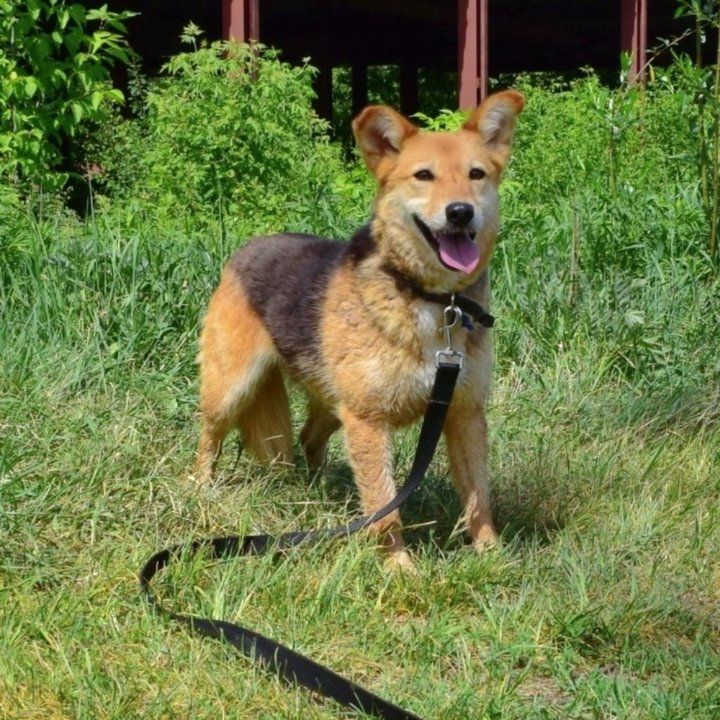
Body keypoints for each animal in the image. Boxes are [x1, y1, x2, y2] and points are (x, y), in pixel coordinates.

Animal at [194, 90, 524, 568]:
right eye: (424, 176)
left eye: (476, 174)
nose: (460, 212)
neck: (431, 300)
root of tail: (246, 249)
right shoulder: (369, 422)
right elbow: (385, 507)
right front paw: (398, 568)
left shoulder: (463, 414)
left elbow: (478, 497)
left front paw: (491, 556)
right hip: (233, 389)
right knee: (210, 438)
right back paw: (201, 489)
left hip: (336, 406)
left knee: (309, 437)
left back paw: (322, 491)